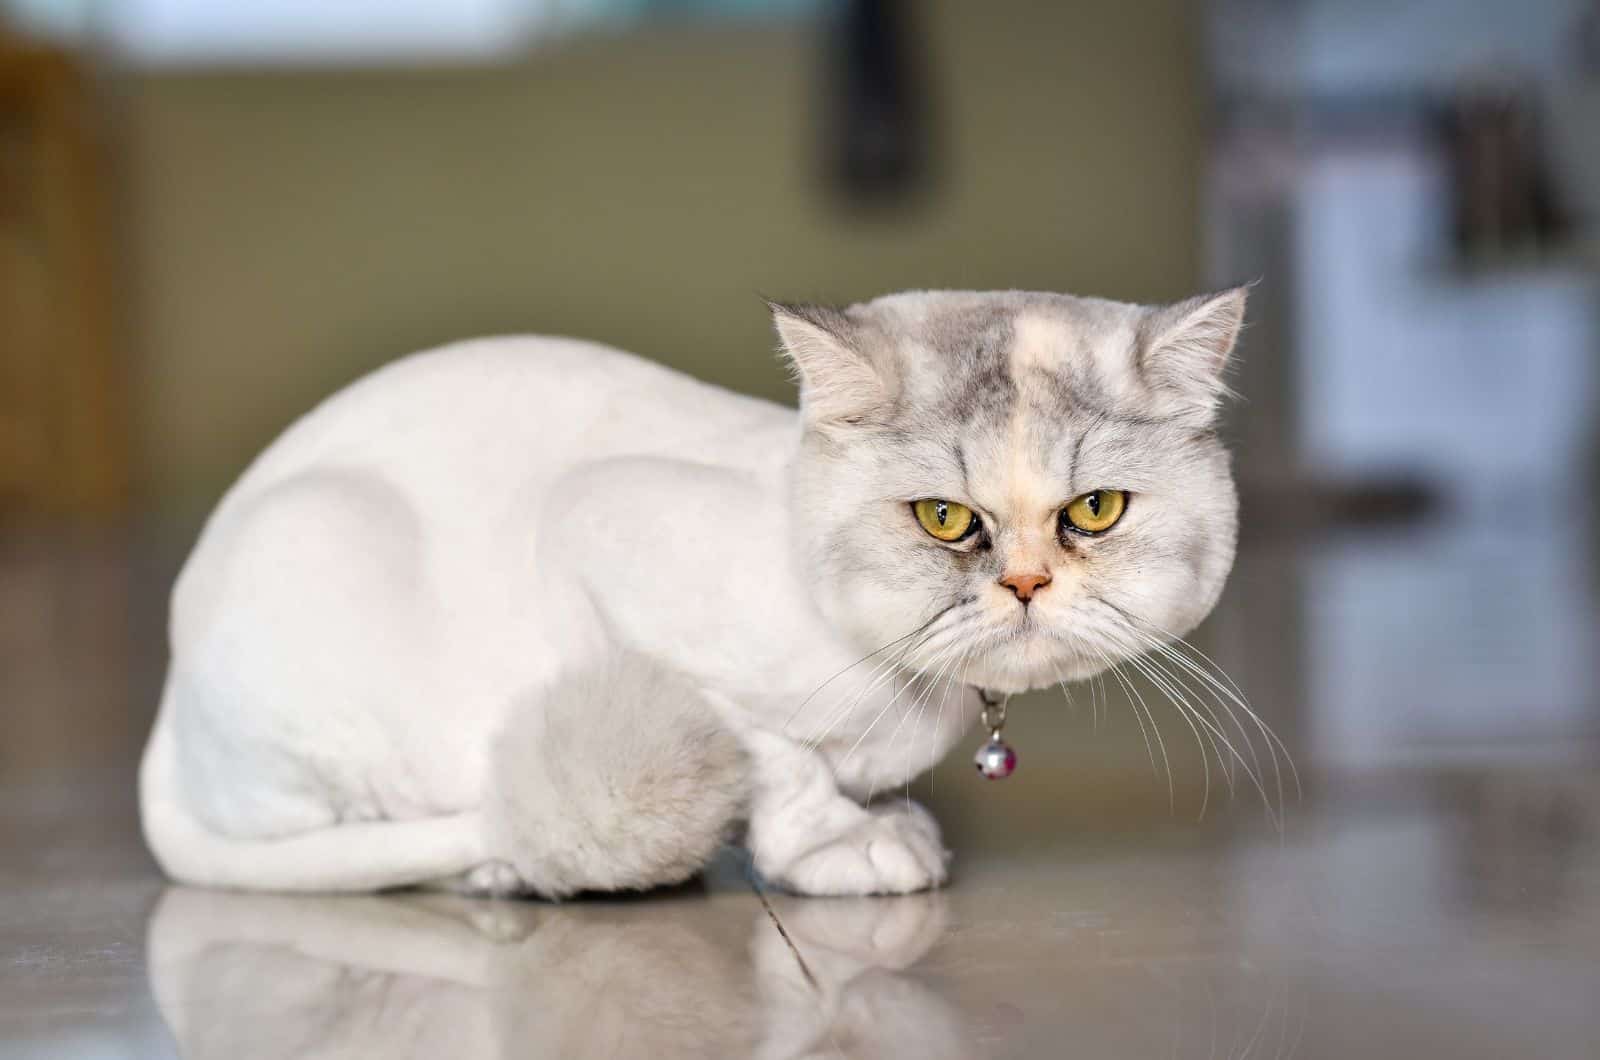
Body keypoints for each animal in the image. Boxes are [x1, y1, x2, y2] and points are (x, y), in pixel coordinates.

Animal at [137, 288, 1248, 896]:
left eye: (1094, 511)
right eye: (942, 519)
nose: (1023, 582)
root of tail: (164, 714)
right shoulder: (599, 525)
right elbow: (774, 761)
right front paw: (841, 846)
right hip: (327, 560)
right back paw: (505, 867)